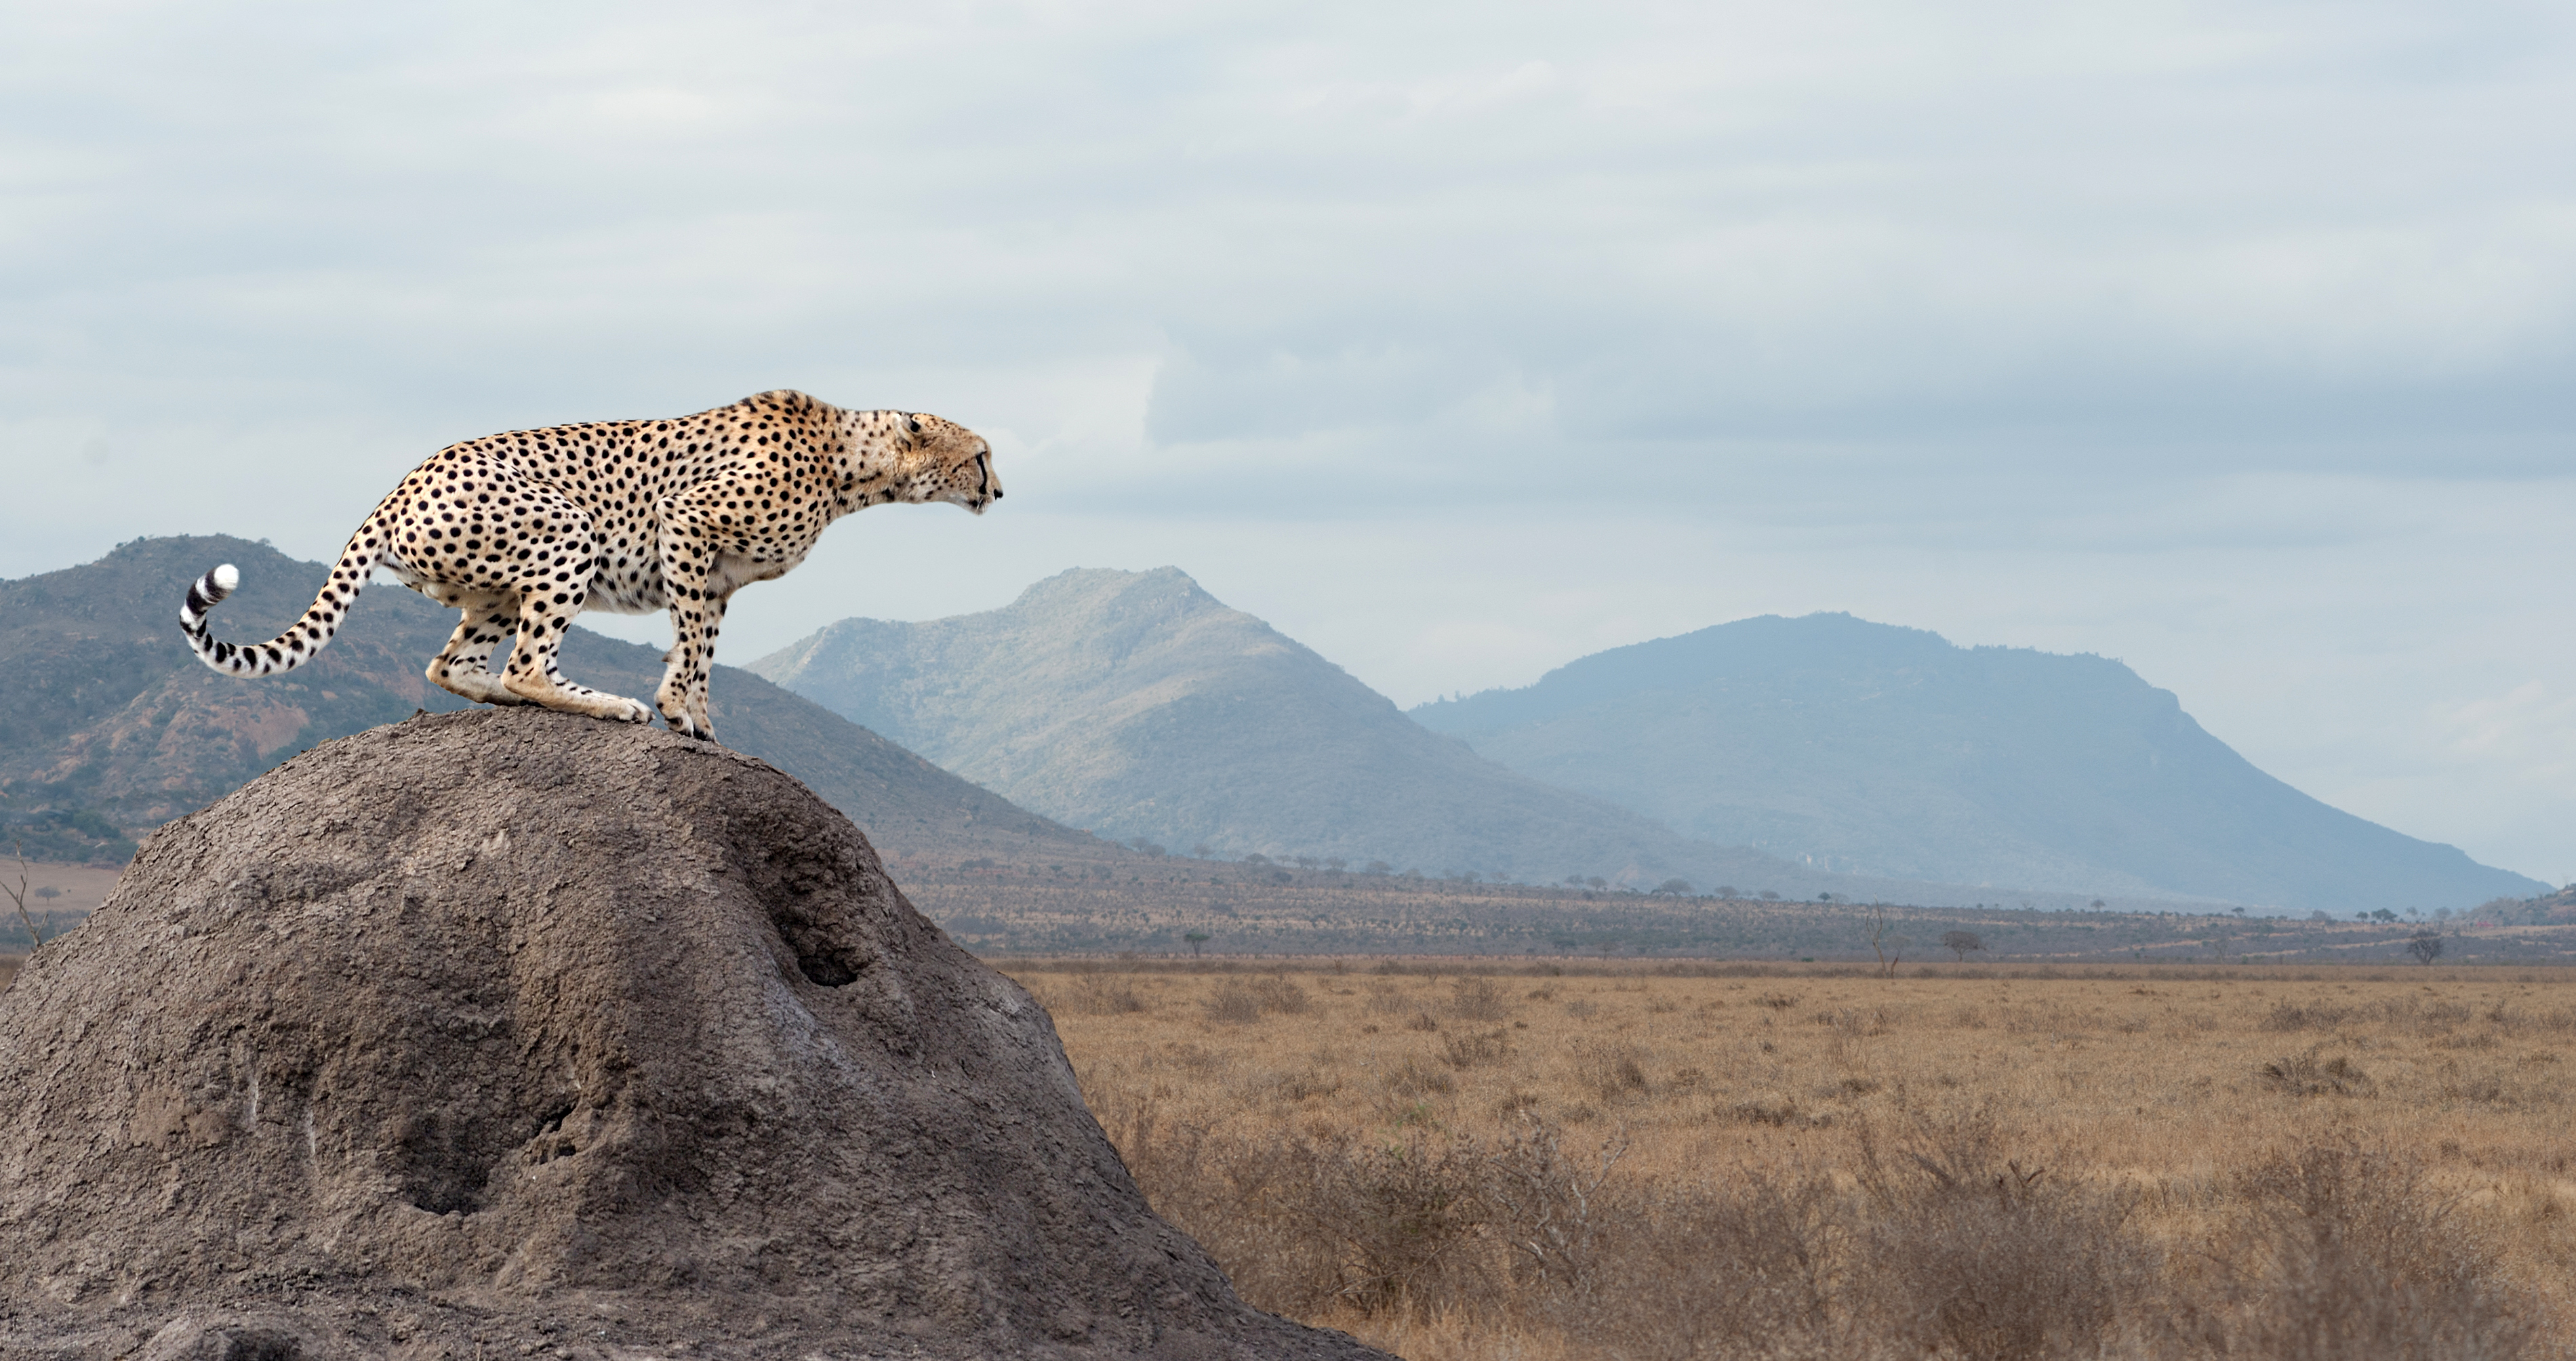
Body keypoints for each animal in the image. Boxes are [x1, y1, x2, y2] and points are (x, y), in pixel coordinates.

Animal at [179, 389, 999, 743]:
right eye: (981, 456)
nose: (997, 490)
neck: (849, 465)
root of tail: (403, 481)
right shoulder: (686, 523)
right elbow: (691, 646)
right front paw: (674, 709)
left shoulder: (719, 578)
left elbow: (703, 648)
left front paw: (701, 719)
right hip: (567, 531)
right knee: (525, 666)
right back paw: (606, 704)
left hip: (493, 589)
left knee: (454, 665)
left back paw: (520, 701)